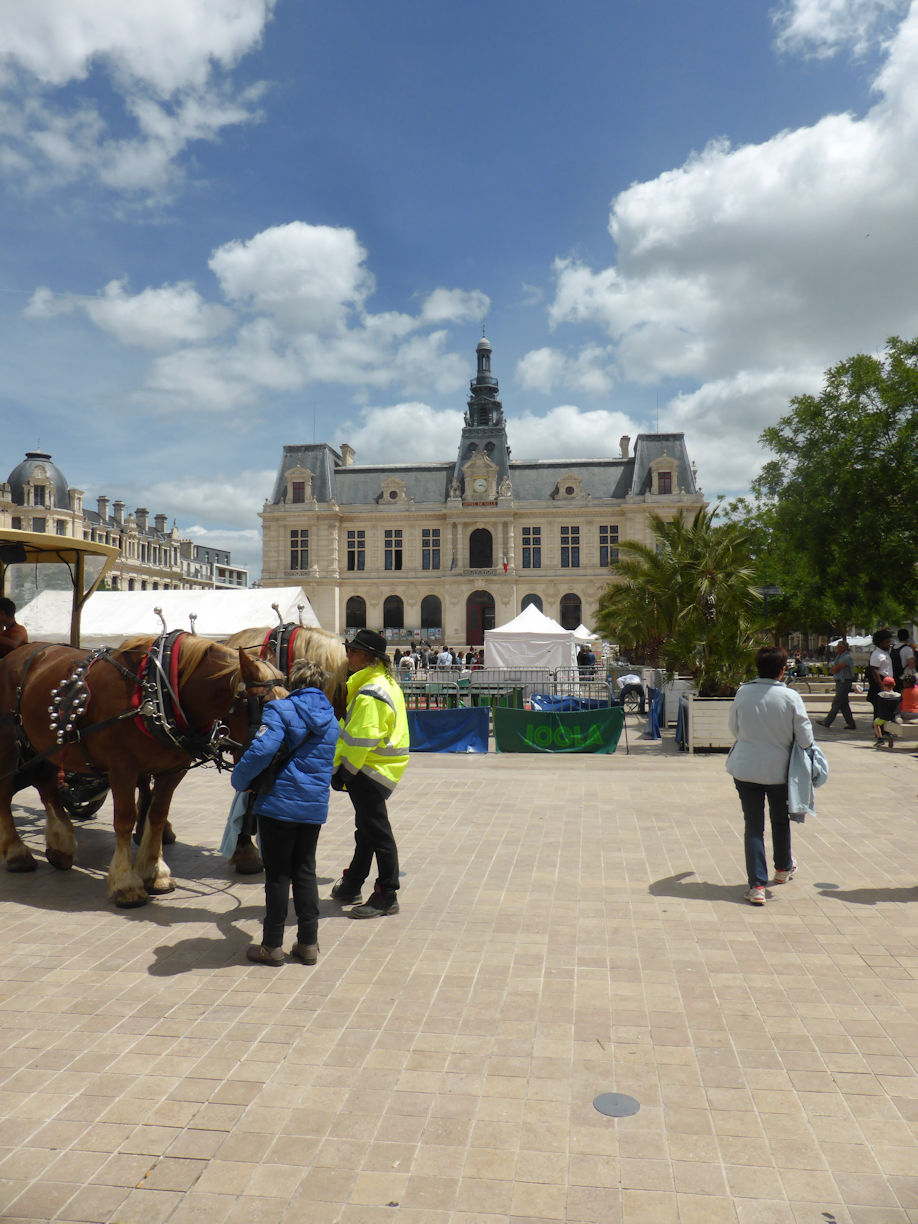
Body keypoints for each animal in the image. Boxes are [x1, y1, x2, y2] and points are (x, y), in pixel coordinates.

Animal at [0, 636, 282, 905]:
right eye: (266, 703)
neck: (158, 693)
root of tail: (17, 653)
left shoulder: (173, 770)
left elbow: (156, 816)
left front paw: (155, 873)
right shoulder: (122, 768)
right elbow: (125, 820)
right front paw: (126, 884)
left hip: (46, 745)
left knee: (46, 787)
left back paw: (61, 847)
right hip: (11, 745)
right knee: (7, 792)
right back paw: (16, 852)